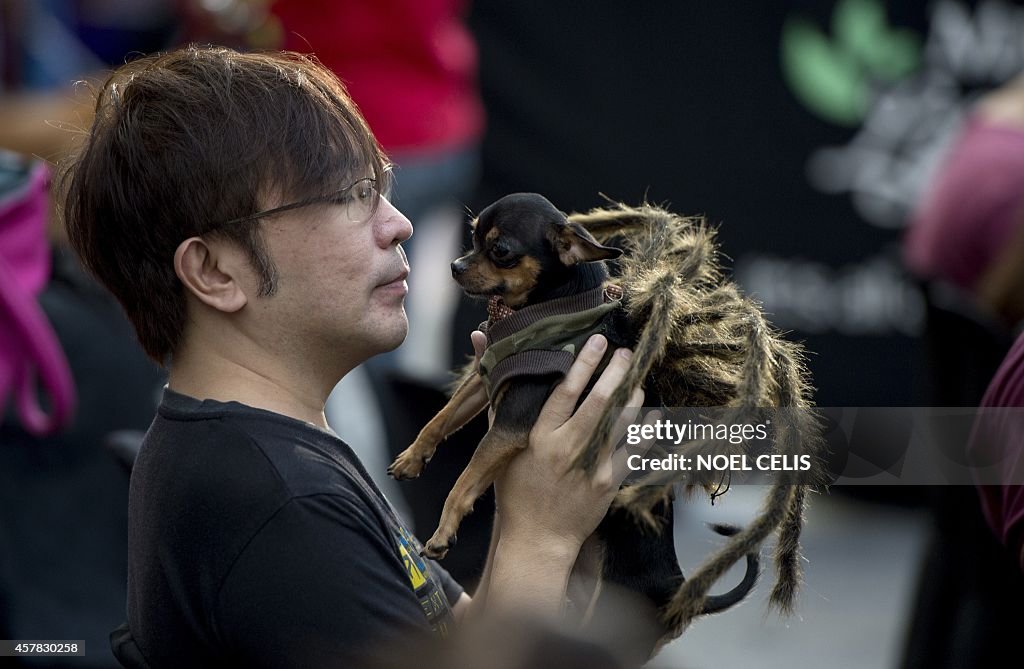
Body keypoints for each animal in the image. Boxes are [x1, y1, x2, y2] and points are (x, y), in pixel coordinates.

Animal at [387, 192, 757, 655]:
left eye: (500, 250)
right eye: (472, 237)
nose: (454, 265)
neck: (546, 310)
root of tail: (678, 591)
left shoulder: (511, 422)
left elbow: (466, 478)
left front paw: (442, 532)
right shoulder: (487, 378)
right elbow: (441, 417)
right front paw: (412, 458)